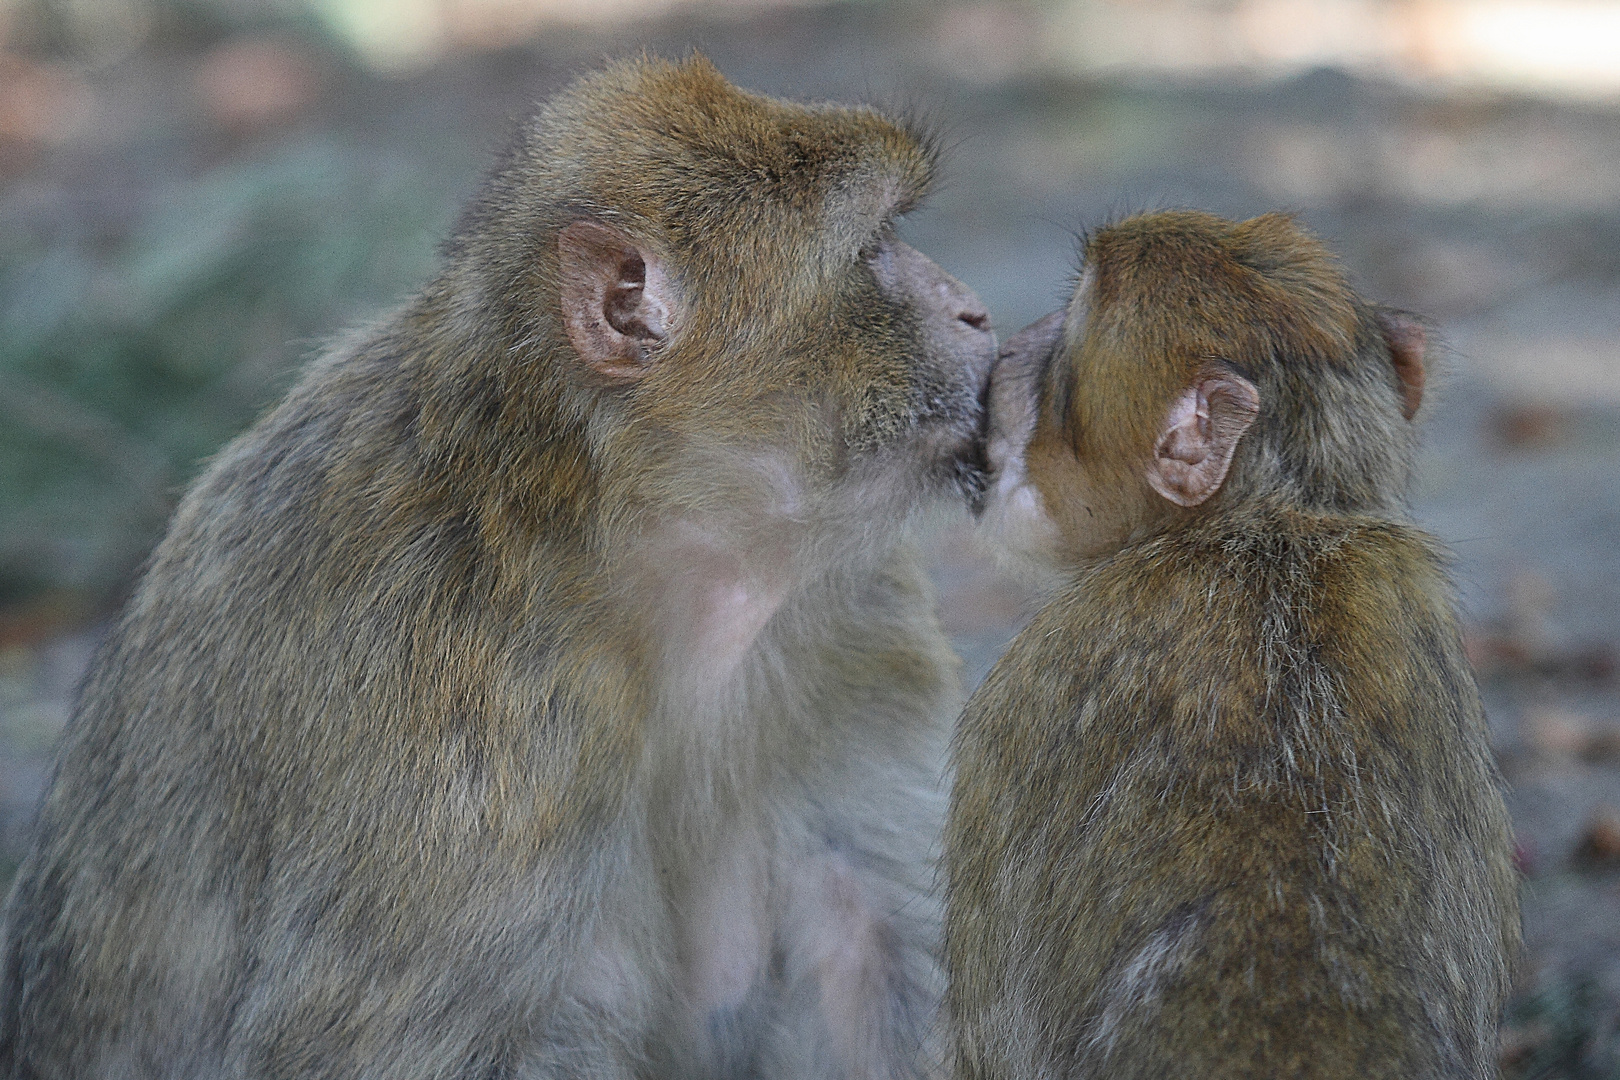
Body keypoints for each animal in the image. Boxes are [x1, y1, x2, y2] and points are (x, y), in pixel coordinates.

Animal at [3, 59, 997, 1080]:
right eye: (876, 249)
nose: (976, 308)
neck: (622, 535)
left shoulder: (859, 619)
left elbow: (873, 954)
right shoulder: (464, 717)